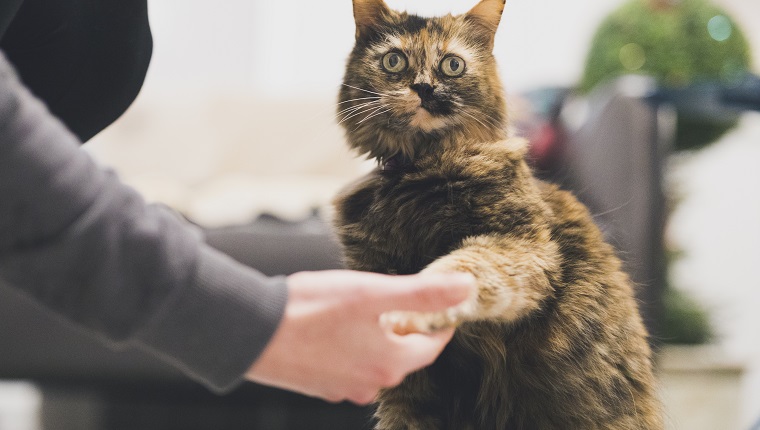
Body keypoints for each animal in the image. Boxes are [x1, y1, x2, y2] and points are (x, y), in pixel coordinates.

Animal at [332, 1, 660, 428]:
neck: (416, 170)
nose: (424, 88)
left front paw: (410, 311)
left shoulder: (521, 245)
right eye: (394, 60)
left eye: (452, 65)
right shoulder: (407, 389)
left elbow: (457, 269)